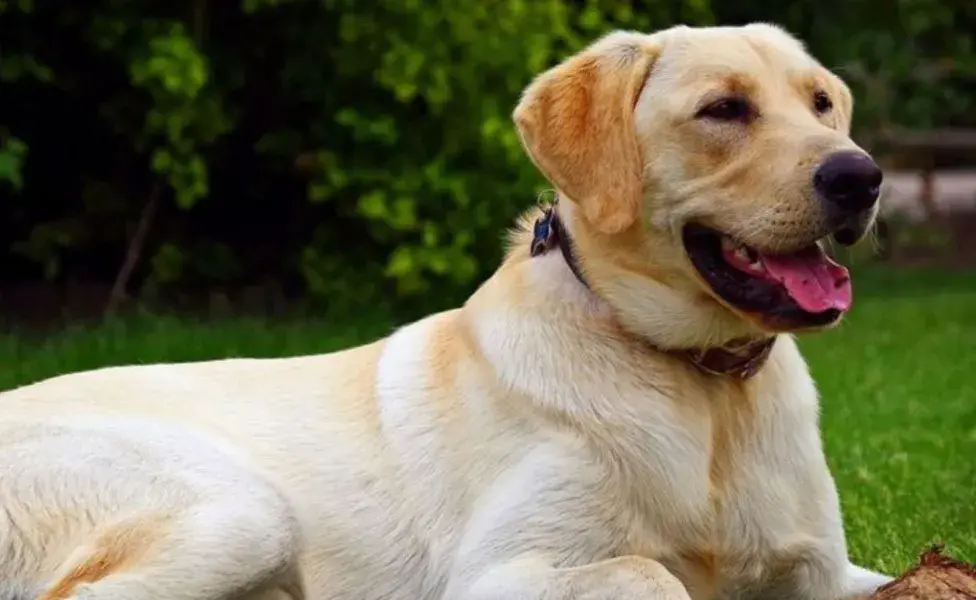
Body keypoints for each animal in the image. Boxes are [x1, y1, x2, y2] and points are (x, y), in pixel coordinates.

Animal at [0, 22, 892, 600]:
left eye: (820, 102)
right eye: (724, 110)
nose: (861, 176)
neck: (702, 385)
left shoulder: (825, 574)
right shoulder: (502, 573)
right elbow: (652, 573)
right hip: (240, 511)